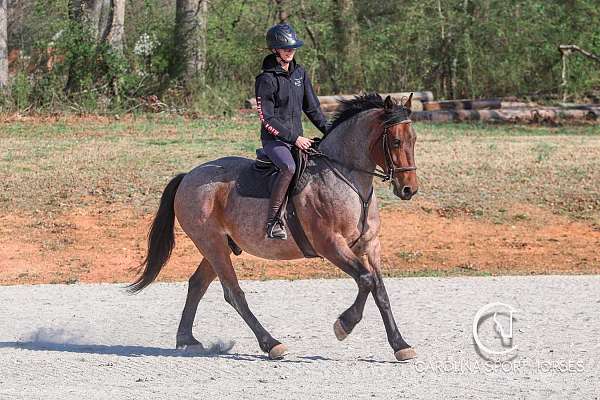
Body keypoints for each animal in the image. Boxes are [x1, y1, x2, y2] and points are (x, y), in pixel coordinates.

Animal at [129, 92, 420, 360]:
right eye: (395, 141)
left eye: (414, 139)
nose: (409, 190)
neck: (345, 178)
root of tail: (188, 175)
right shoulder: (330, 245)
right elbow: (366, 280)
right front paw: (344, 325)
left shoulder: (369, 246)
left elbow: (379, 290)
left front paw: (400, 345)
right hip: (212, 244)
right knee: (233, 293)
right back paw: (271, 344)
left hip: (218, 246)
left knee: (197, 284)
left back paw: (187, 339)